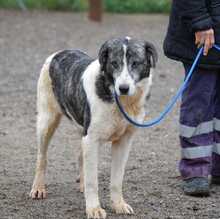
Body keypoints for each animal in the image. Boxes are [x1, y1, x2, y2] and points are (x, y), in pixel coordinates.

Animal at [30, 36, 158, 218]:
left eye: (136, 63)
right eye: (114, 63)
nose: (123, 88)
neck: (120, 101)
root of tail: (59, 52)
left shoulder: (123, 142)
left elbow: (116, 179)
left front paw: (118, 205)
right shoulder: (91, 140)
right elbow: (93, 182)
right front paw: (94, 209)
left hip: (81, 130)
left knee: (80, 156)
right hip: (46, 122)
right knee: (42, 157)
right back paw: (38, 188)